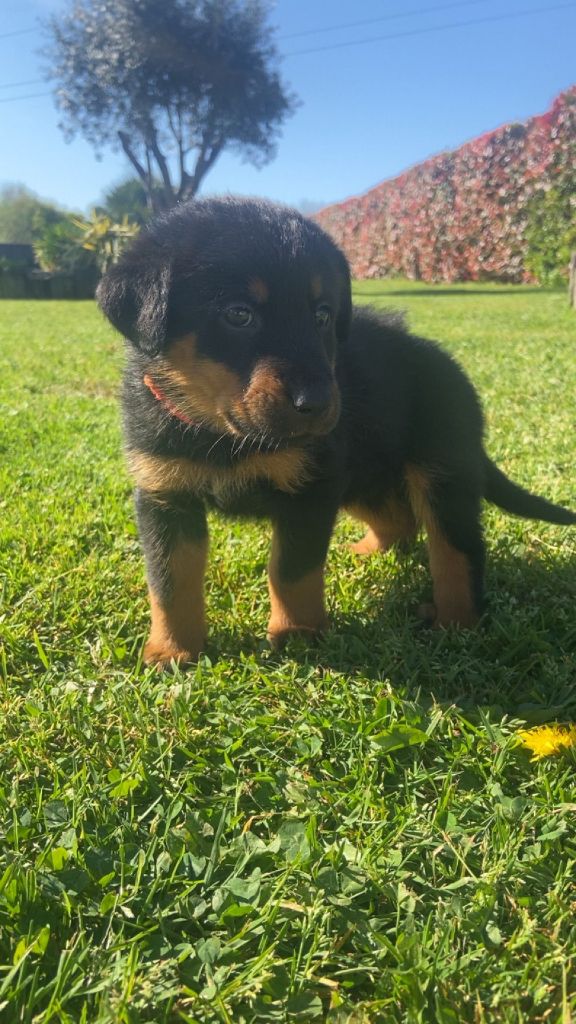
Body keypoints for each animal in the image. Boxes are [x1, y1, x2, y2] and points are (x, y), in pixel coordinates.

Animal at [96, 196, 575, 667]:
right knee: (399, 520)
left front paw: (296, 635)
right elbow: (169, 580)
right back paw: (366, 554)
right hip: (359, 475)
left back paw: (455, 623)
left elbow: (291, 569)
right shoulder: (165, 495)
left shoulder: (311, 490)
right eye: (238, 314)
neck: (223, 436)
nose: (318, 405)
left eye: (323, 315)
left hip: (440, 471)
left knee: (457, 550)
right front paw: (172, 651)